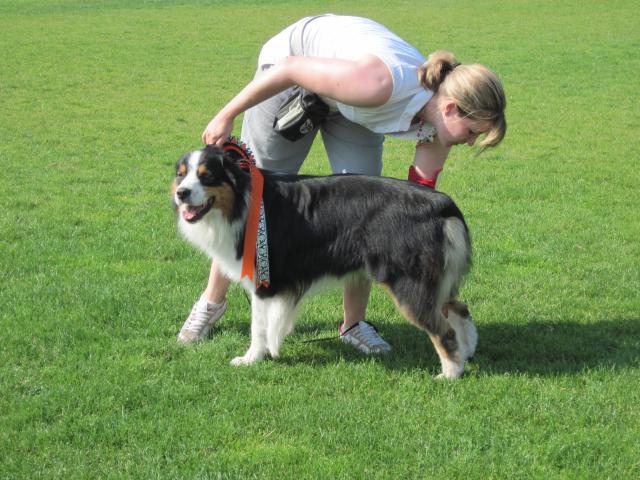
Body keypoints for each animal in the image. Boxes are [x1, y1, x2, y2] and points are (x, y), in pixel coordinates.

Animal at [172, 145, 478, 378]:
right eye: (181, 175)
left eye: (207, 176)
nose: (181, 193)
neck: (243, 202)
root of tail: (442, 205)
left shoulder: (265, 280)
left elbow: (258, 325)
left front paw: (251, 358)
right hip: (436, 279)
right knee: (459, 309)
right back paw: (468, 351)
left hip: (409, 283)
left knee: (442, 330)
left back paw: (450, 373)